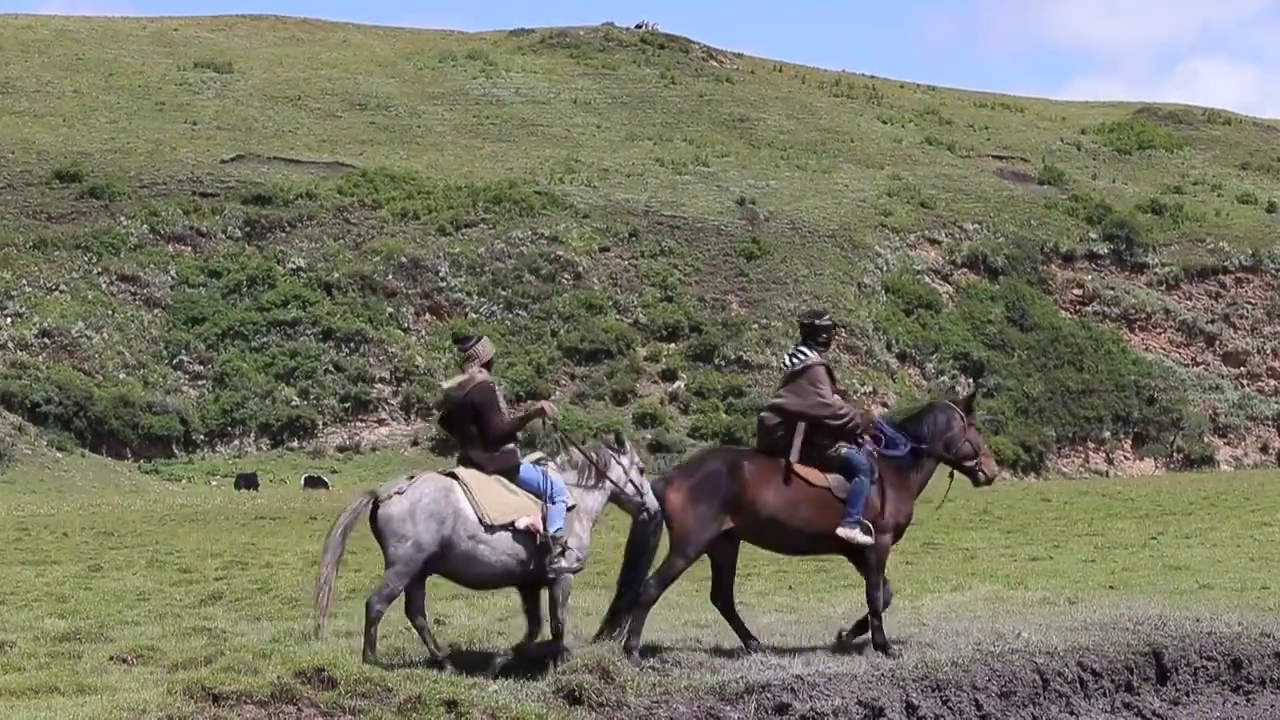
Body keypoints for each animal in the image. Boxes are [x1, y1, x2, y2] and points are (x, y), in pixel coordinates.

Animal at [311, 427, 660, 666]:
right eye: (642, 470)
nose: (654, 509)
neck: (574, 498)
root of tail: (387, 491)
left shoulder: (529, 584)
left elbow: (535, 627)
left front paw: (505, 660)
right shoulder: (562, 577)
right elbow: (558, 622)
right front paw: (559, 660)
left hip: (418, 573)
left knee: (416, 613)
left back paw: (444, 661)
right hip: (403, 568)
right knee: (377, 604)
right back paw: (373, 660)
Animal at [588, 386, 998, 655]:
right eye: (975, 429)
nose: (991, 471)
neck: (891, 470)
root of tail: (669, 478)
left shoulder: (859, 551)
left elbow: (883, 595)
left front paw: (846, 636)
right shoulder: (877, 545)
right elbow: (876, 596)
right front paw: (882, 646)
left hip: (724, 544)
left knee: (722, 598)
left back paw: (754, 644)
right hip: (690, 546)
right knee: (650, 588)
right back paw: (633, 650)